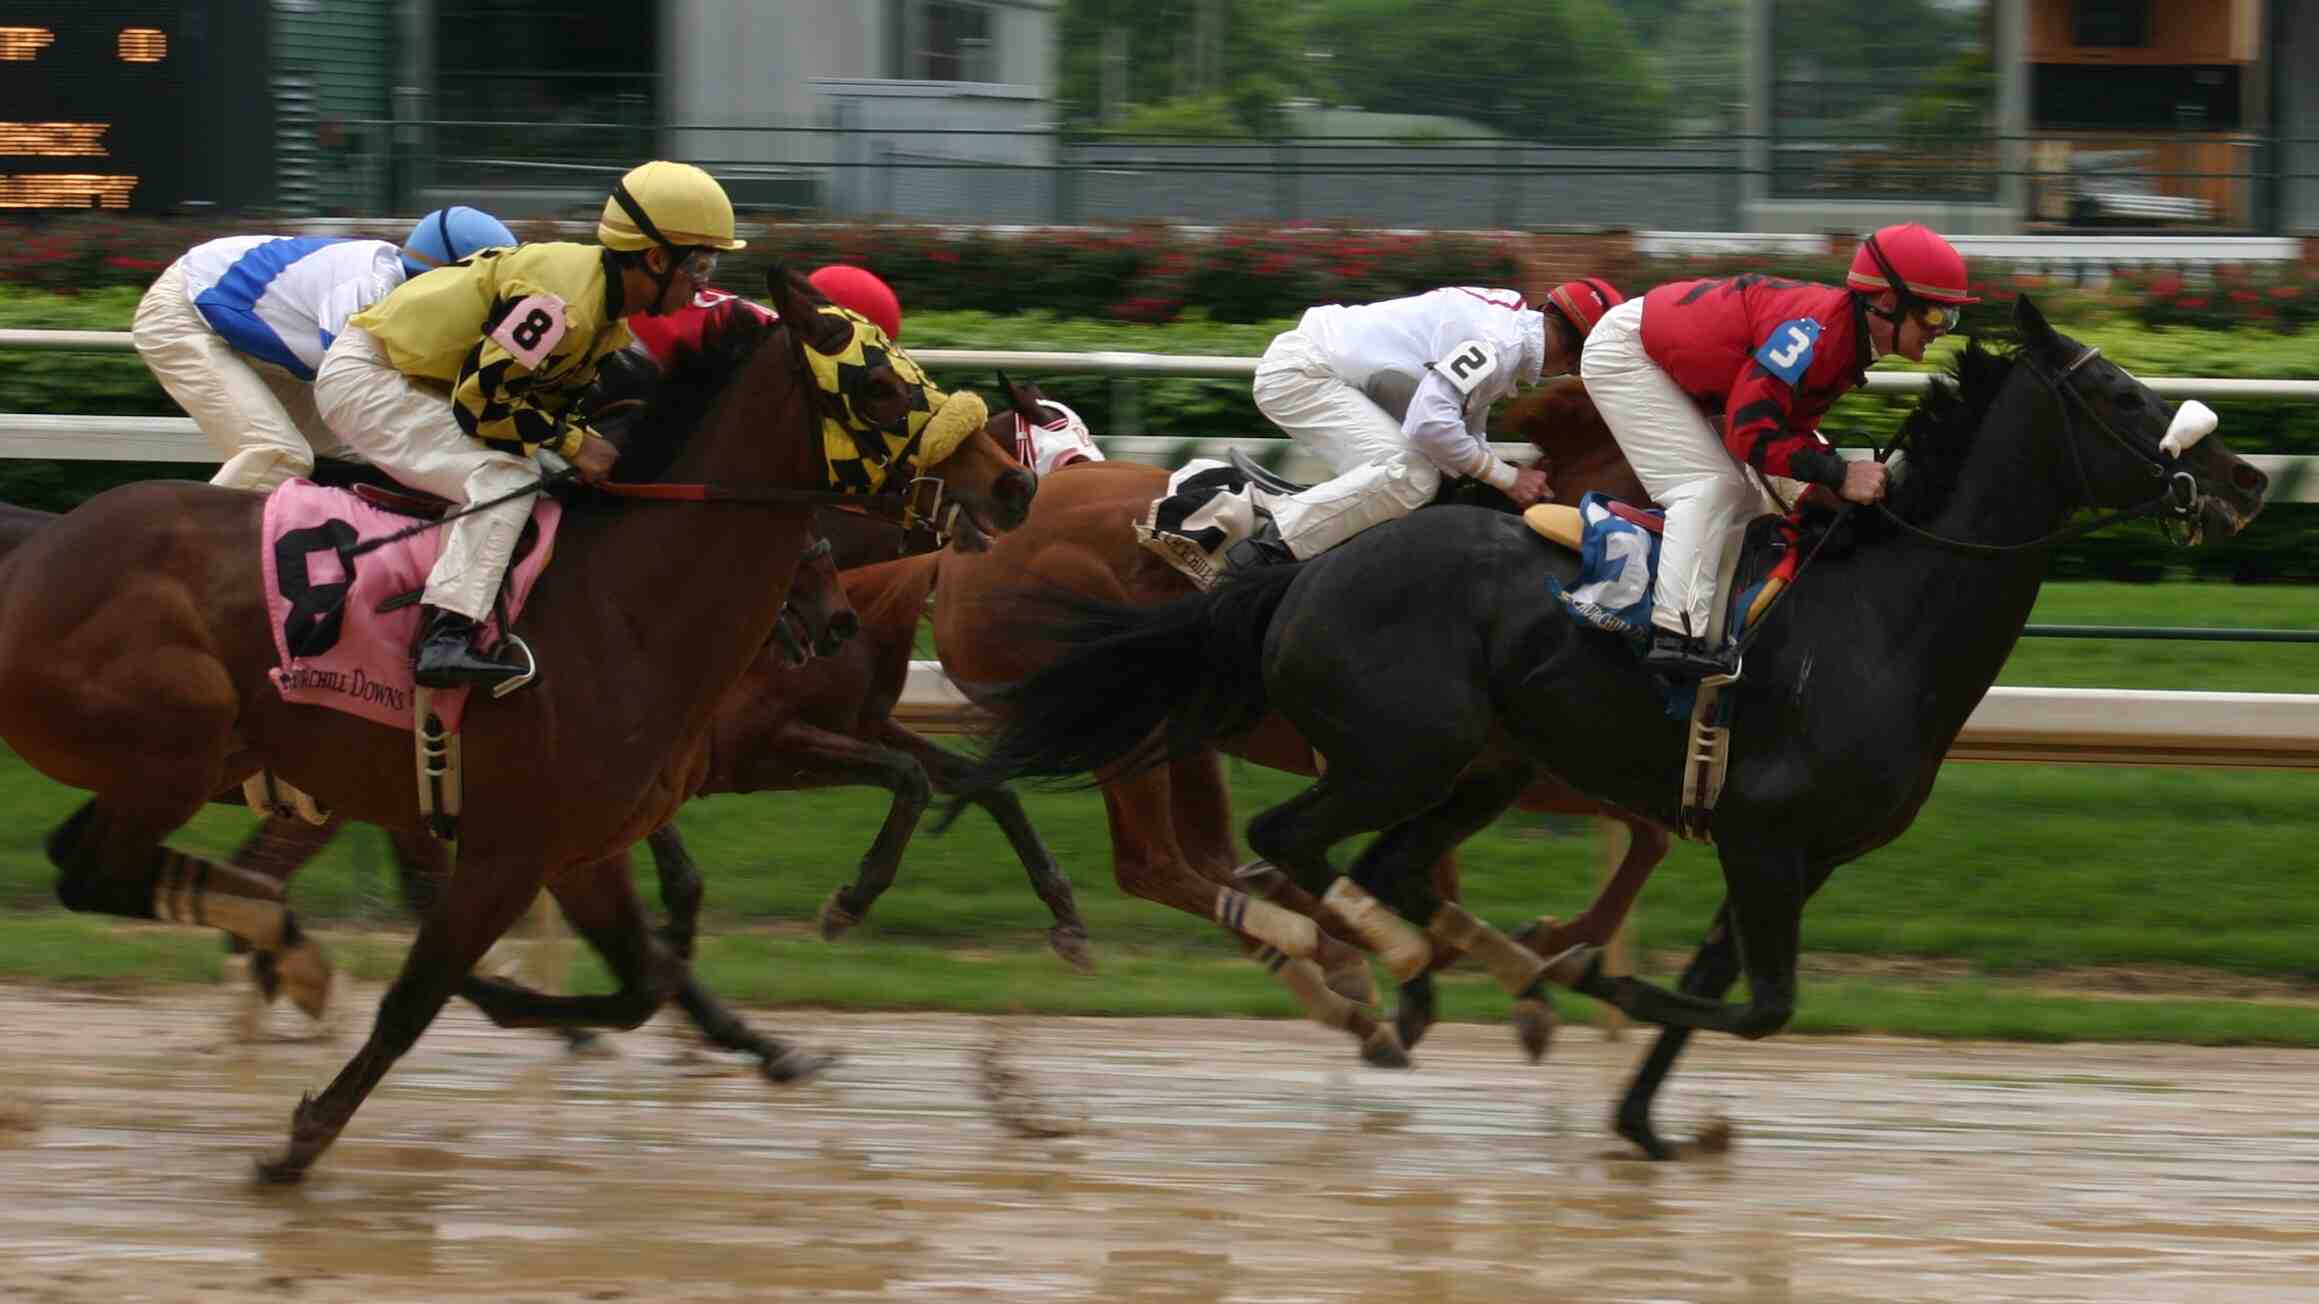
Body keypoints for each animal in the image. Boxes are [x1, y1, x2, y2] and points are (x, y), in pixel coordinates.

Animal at [0, 266, 1038, 1178]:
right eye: (874, 383)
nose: (1011, 485)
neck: (621, 601)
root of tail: (38, 544)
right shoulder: (511, 848)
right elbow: (417, 997)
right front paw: (303, 1141)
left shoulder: (580, 851)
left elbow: (642, 980)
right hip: (177, 743)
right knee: (95, 869)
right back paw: (280, 945)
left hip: (182, 762)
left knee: (103, 865)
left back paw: (284, 947)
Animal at [955, 296, 2263, 1155]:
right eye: (2118, 393)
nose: (2246, 482)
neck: (1877, 620)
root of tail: (1297, 569)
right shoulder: (1764, 839)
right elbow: (1761, 1000)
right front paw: (1594, 978)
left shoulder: (1794, 852)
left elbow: (1726, 980)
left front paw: (1644, 1111)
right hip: (1401, 750)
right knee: (1287, 845)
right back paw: (1392, 969)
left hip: (1481, 763)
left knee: (1370, 863)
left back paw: (1433, 968)